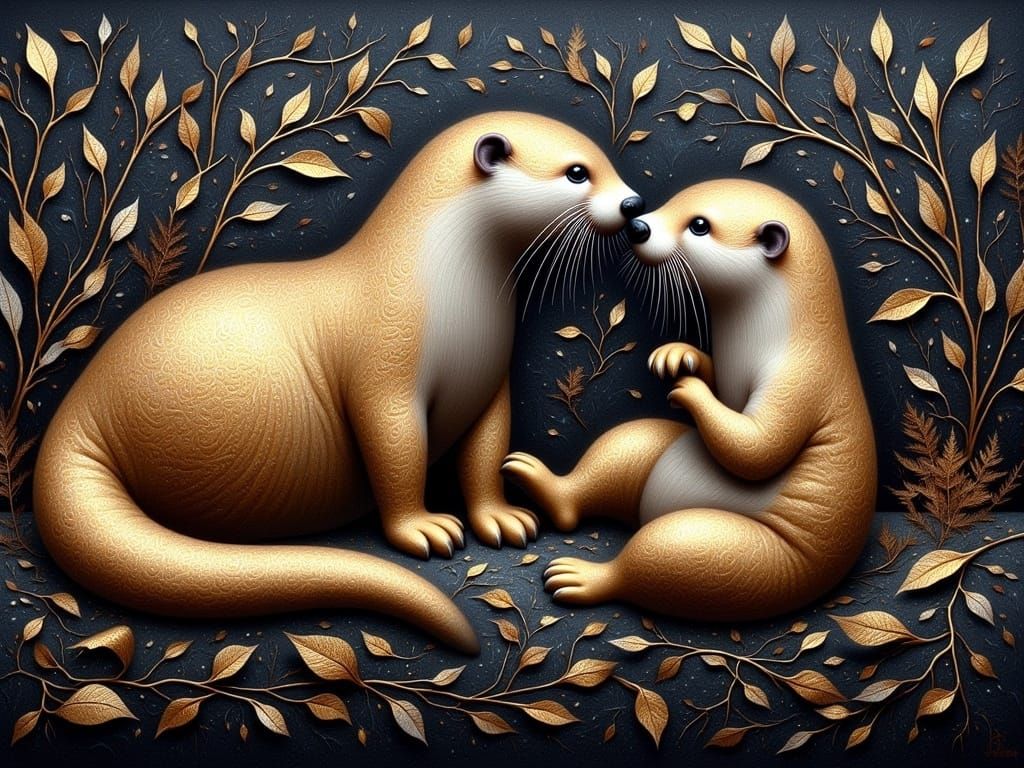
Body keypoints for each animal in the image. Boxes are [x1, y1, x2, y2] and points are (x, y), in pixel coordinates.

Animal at [33, 112, 643, 653]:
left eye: (609, 165)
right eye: (577, 172)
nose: (634, 205)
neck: (448, 288)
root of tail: (78, 418)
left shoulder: (490, 384)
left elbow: (486, 452)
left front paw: (502, 517)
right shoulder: (387, 371)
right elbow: (397, 451)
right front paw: (422, 528)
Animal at [503, 179, 876, 621]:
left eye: (699, 225)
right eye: (672, 202)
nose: (638, 226)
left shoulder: (801, 377)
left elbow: (759, 448)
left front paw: (689, 389)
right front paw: (678, 356)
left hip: (737, 556)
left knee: (652, 561)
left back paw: (582, 577)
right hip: (642, 449)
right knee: (604, 469)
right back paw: (539, 481)